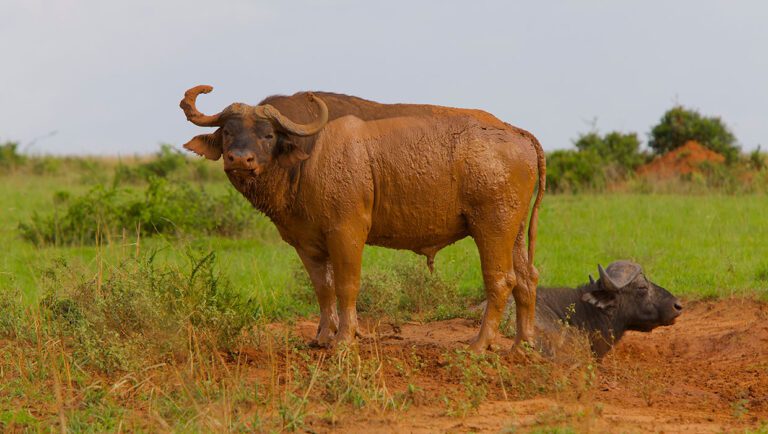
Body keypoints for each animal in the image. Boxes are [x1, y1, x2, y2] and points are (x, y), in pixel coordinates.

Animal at [180, 85, 546, 351]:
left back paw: (479, 344)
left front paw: (344, 339)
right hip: (513, 232)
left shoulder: (347, 232)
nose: (240, 159)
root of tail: (516, 132)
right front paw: (322, 337)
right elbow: (323, 288)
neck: (309, 156)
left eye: (268, 135)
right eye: (228, 132)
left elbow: (346, 285)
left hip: (491, 228)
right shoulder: (306, 243)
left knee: (501, 280)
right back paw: (522, 344)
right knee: (527, 278)